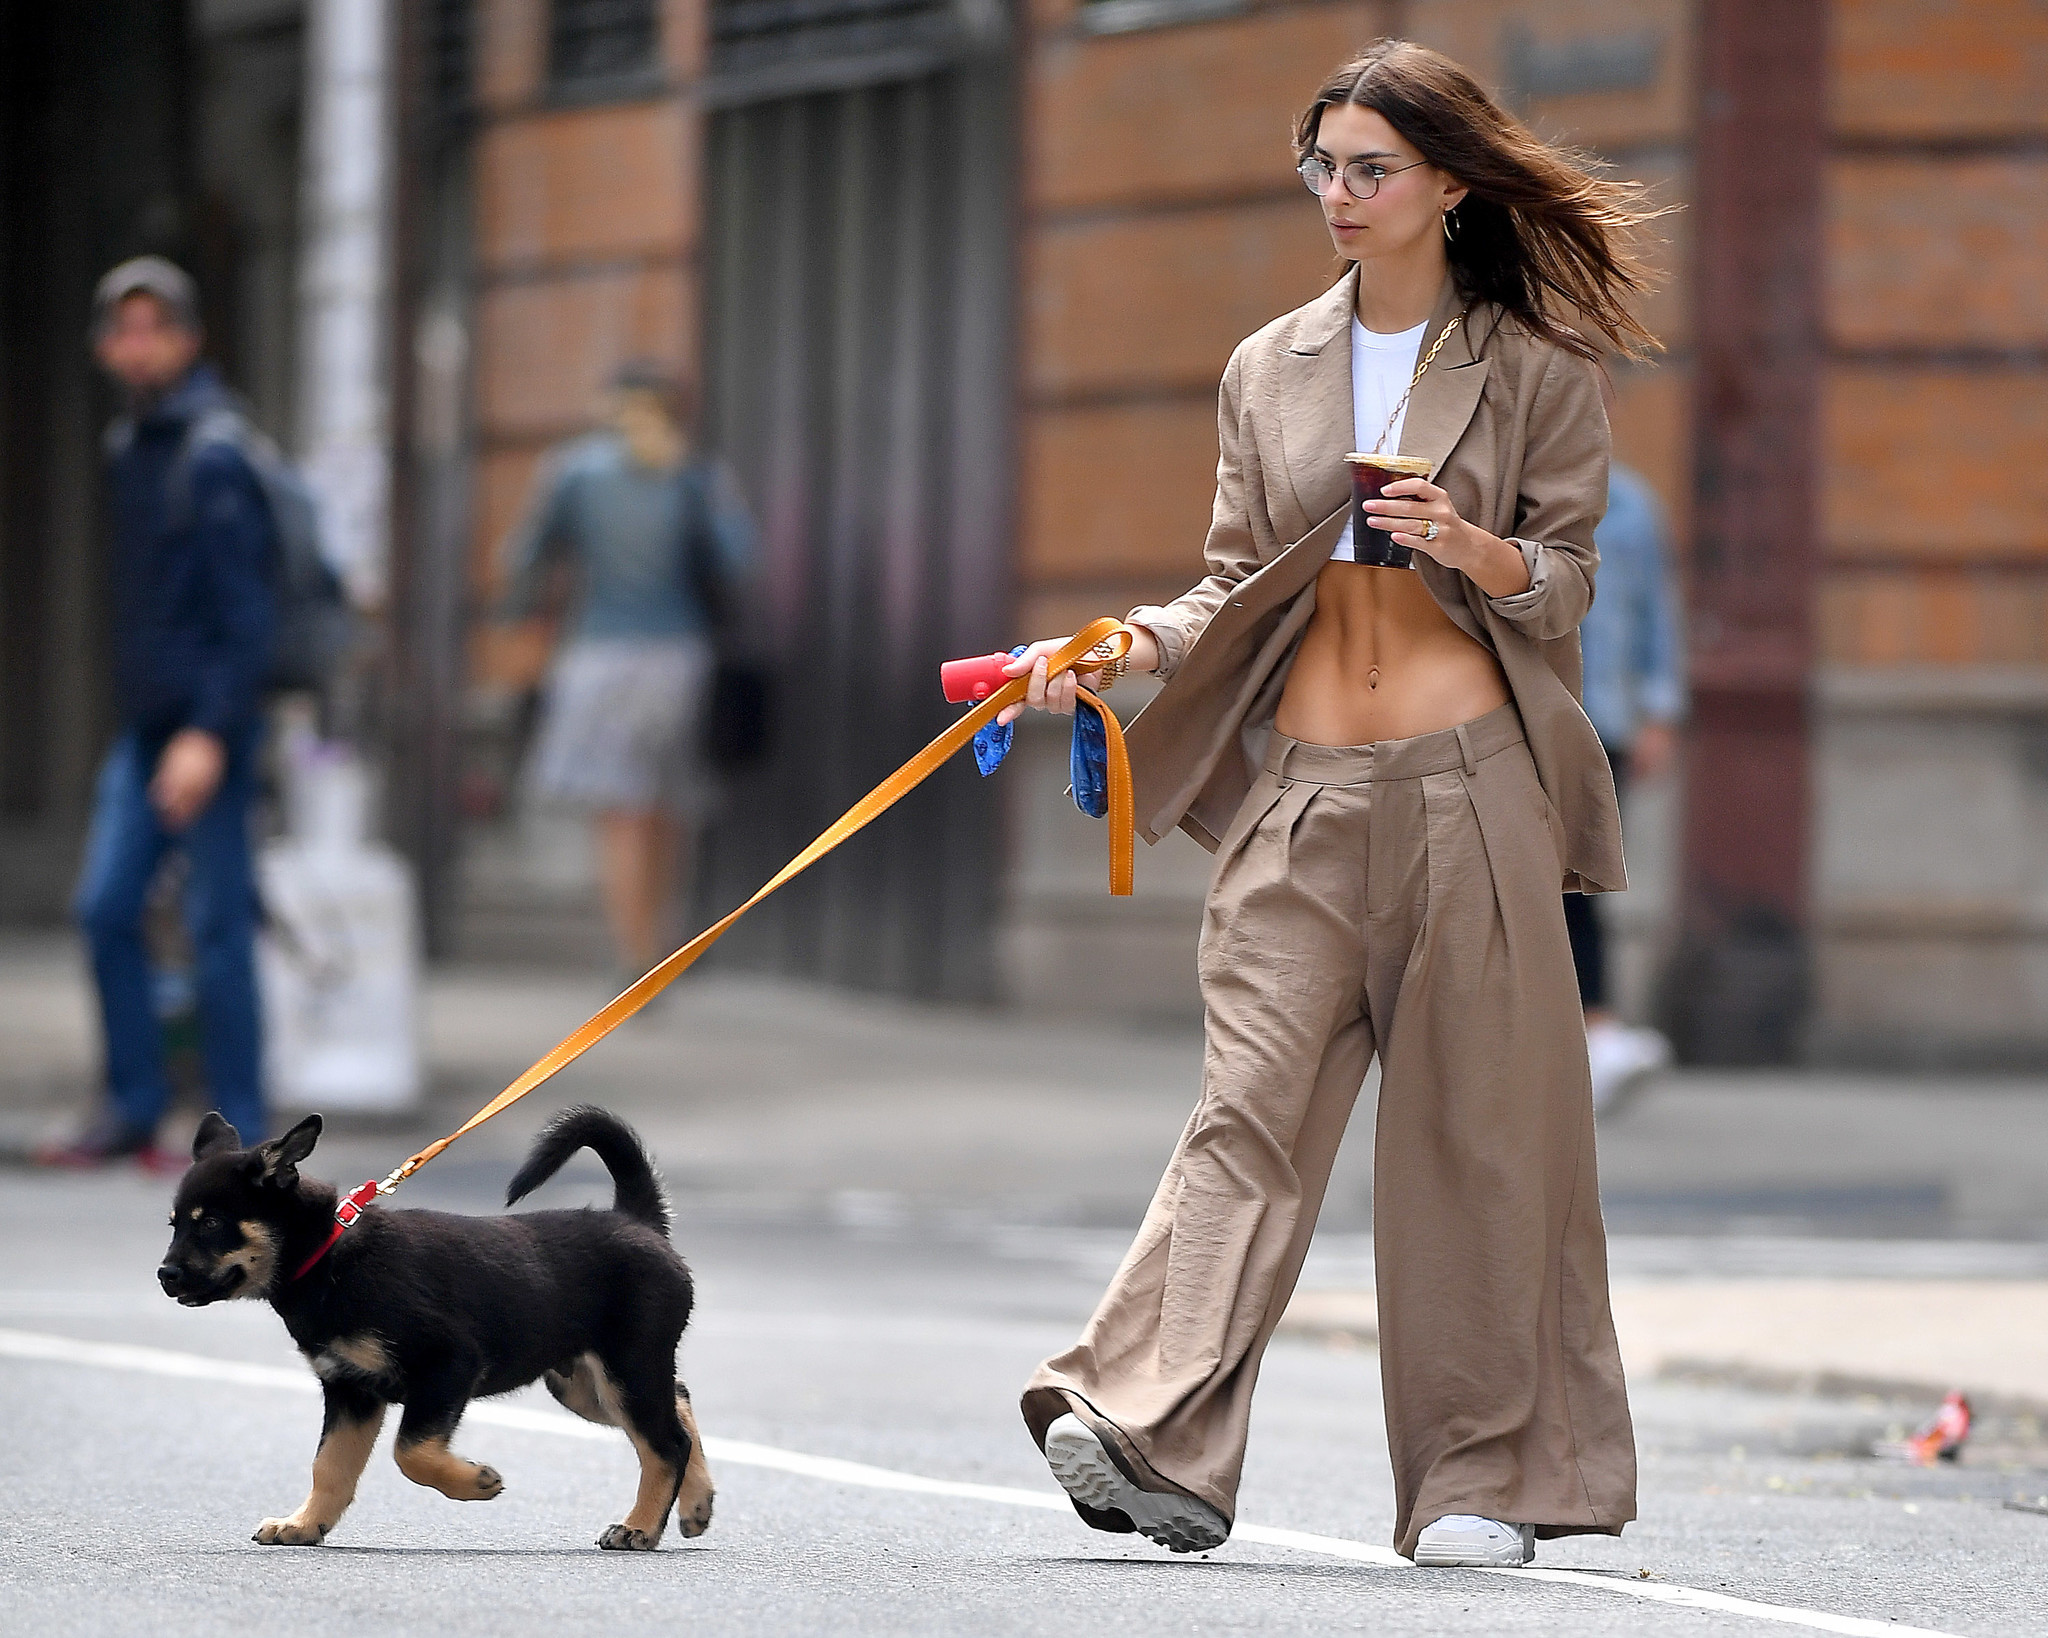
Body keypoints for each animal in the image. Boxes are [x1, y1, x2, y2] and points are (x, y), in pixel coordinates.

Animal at [157, 1097, 712, 1547]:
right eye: (175, 1223)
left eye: (211, 1224)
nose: (164, 1275)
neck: (328, 1257)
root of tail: (638, 1221)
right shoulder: (351, 1390)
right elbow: (329, 1466)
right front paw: (304, 1524)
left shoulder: (447, 1364)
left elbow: (410, 1452)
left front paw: (475, 1482)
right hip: (584, 1385)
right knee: (679, 1405)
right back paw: (697, 1504)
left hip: (625, 1368)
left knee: (665, 1443)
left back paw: (639, 1527)